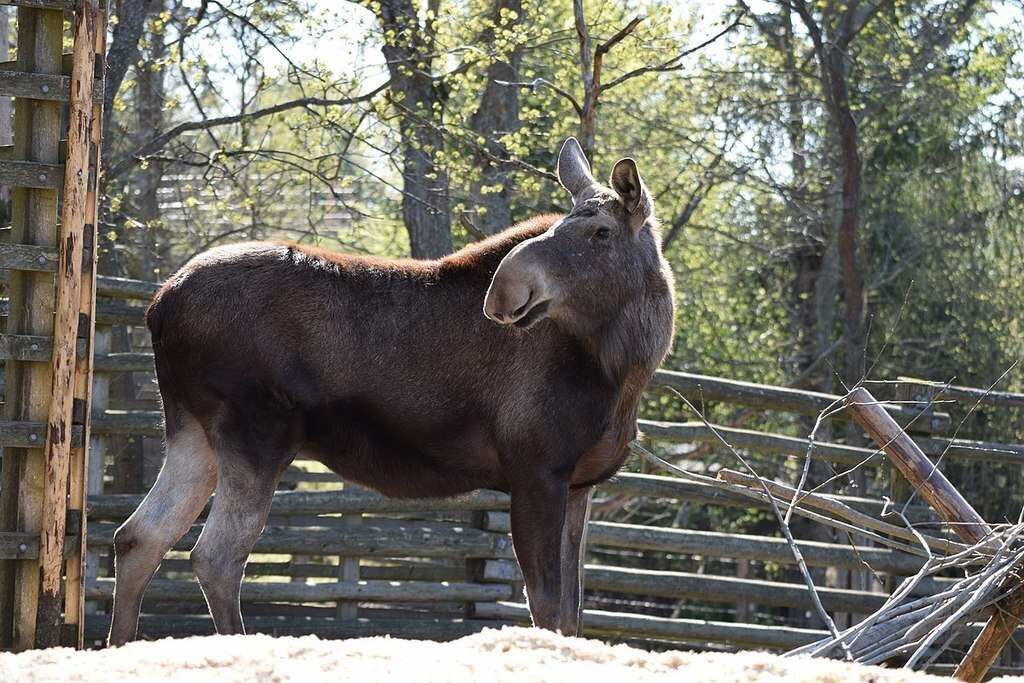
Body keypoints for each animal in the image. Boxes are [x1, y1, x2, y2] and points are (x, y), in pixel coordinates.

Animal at [107, 137, 675, 645]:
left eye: (601, 231)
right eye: (562, 224)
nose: (504, 289)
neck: (624, 370)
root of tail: (158, 306)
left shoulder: (581, 484)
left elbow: (573, 613)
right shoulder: (536, 470)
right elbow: (548, 609)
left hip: (192, 432)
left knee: (138, 537)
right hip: (257, 433)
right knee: (216, 556)